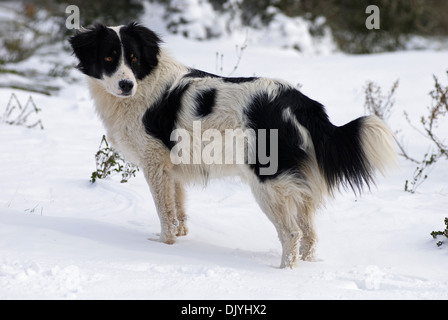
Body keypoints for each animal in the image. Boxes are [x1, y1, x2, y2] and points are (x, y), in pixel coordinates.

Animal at [69, 21, 396, 268]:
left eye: (134, 59)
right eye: (109, 59)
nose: (126, 85)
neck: (144, 84)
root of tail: (297, 101)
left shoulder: (155, 163)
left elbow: (164, 211)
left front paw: (163, 245)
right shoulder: (172, 167)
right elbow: (178, 208)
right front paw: (180, 238)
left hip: (268, 182)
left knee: (291, 234)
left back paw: (284, 273)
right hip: (294, 184)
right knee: (310, 235)